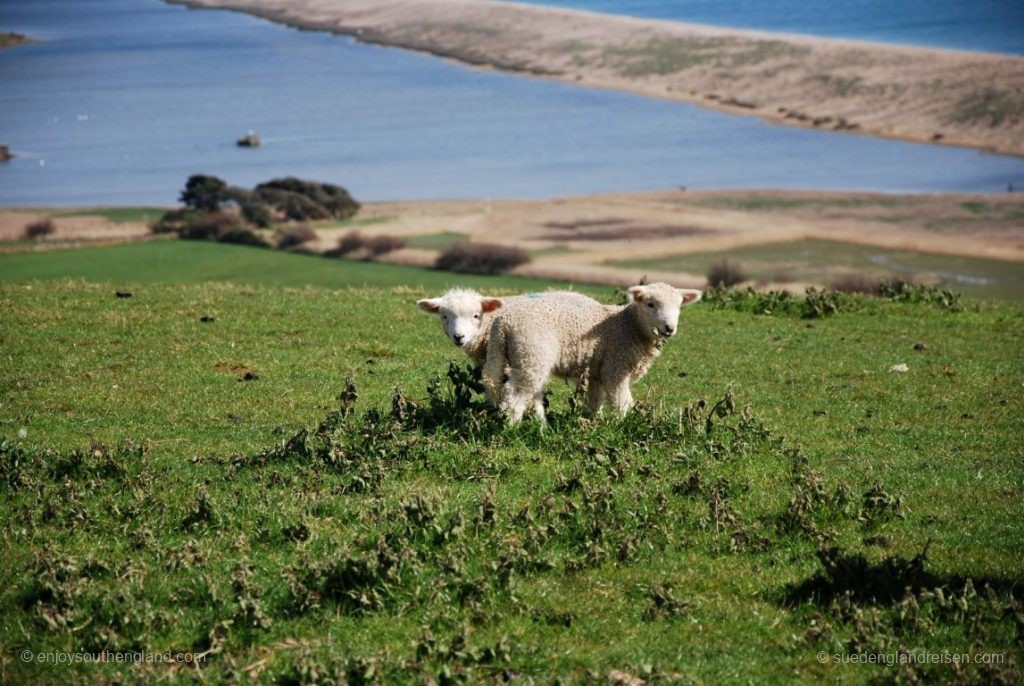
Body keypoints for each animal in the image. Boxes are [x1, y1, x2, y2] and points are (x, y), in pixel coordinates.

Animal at [483, 280, 700, 421]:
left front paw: (592, 422)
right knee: (515, 392)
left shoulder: (598, 373)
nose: (669, 328)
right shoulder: (616, 368)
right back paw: (514, 426)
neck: (629, 326)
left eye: (679, 306)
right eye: (650, 304)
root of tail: (503, 323)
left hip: (513, 355)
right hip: (532, 353)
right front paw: (625, 424)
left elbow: (595, 401)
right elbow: (623, 402)